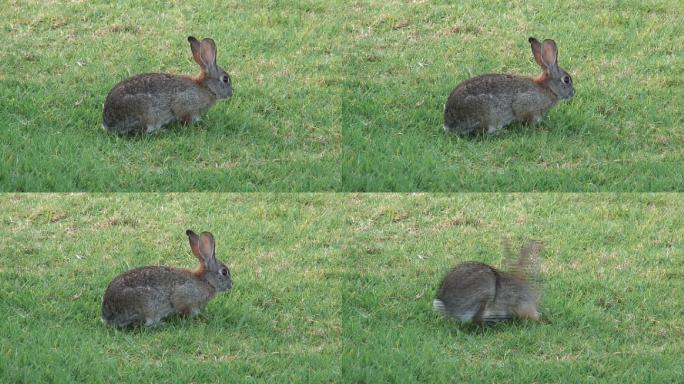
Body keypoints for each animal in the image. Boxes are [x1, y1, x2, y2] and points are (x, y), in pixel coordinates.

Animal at [100, 230, 231, 328]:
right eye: (224, 272)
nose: (231, 285)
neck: (205, 280)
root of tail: (107, 314)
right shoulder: (184, 296)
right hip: (148, 306)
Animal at [101, 36, 234, 135]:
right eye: (225, 79)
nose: (231, 93)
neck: (206, 88)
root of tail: (108, 122)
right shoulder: (184, 102)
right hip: (146, 114)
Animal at [446, 36, 576, 135]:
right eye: (566, 80)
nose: (573, 93)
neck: (548, 88)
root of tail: (448, 122)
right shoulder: (526, 103)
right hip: (487, 115)